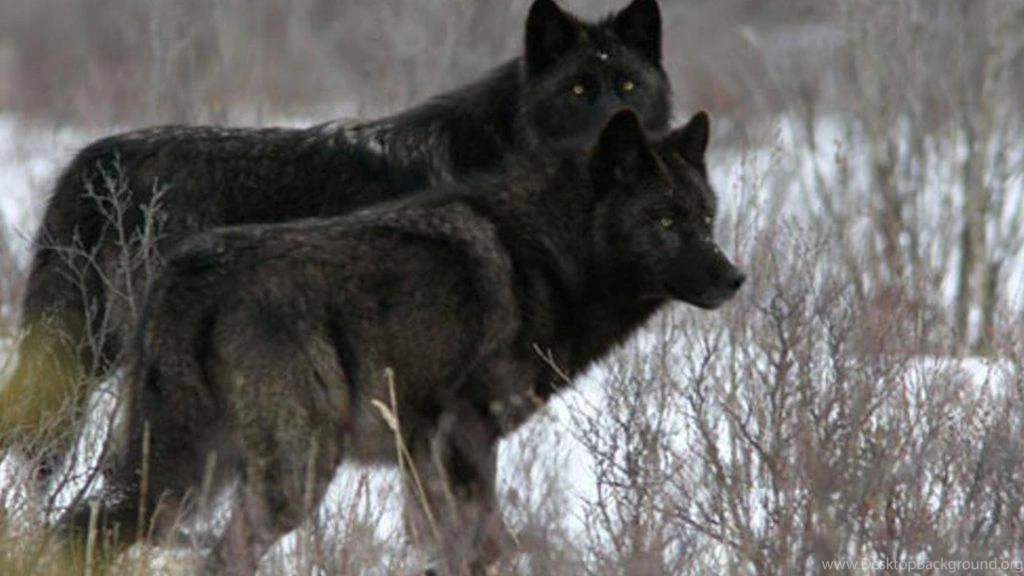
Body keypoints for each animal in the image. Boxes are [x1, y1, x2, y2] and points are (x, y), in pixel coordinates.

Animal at [54, 110, 744, 575]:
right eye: (664, 220)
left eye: (706, 218)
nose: (734, 277)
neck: (548, 256)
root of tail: (189, 269)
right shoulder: (466, 436)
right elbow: (481, 546)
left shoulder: (422, 453)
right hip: (290, 474)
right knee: (220, 554)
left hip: (187, 472)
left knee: (82, 526)